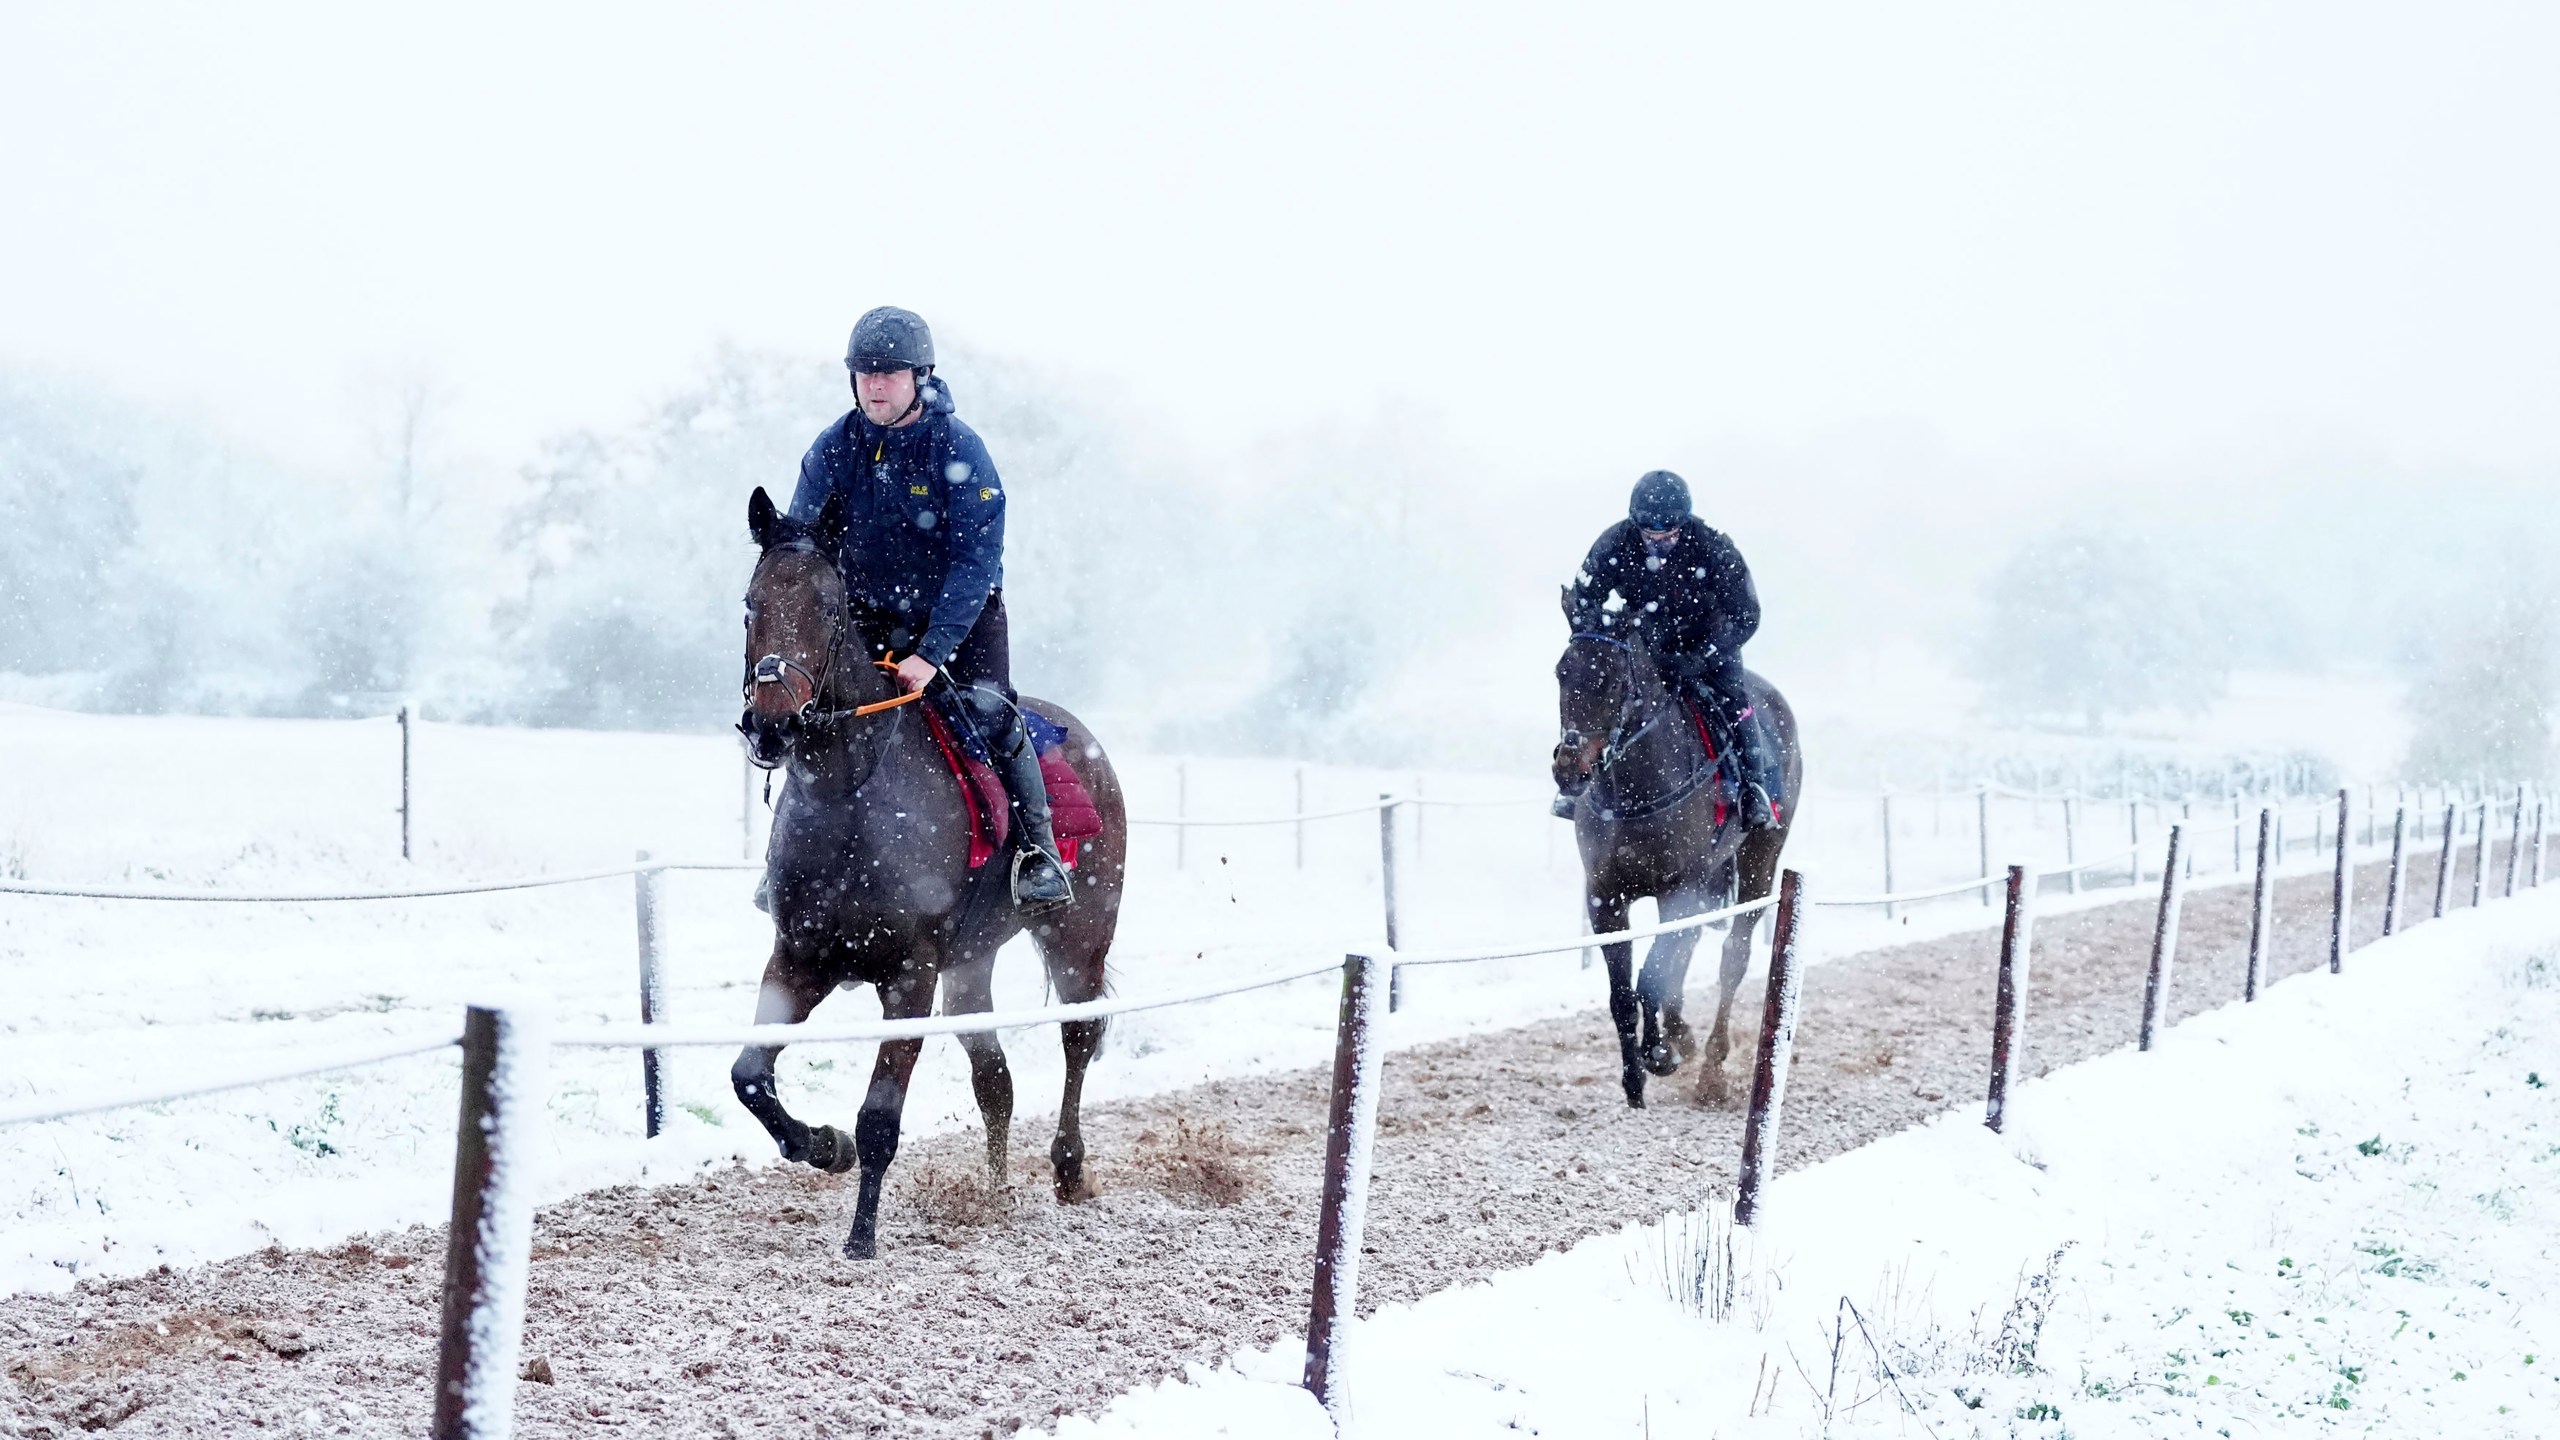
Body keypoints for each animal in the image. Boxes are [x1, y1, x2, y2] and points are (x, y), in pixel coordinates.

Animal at [721, 484, 1121, 1255]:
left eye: (828, 607)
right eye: (752, 604)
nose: (772, 724)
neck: (849, 795)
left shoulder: (911, 973)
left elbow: (880, 1116)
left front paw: (861, 1237)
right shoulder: (799, 957)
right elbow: (749, 1075)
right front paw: (823, 1145)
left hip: (1079, 938)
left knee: (1078, 1039)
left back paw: (1067, 1167)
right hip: (970, 970)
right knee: (994, 1077)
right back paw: (996, 1192)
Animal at [1536, 599, 1802, 1101]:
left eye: (1611, 679)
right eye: (1562, 671)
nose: (1569, 767)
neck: (1636, 793)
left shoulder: (1680, 888)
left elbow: (1650, 976)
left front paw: (1659, 1054)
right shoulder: (1604, 897)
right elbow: (1625, 991)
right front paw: (1635, 1073)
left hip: (1760, 861)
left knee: (1732, 956)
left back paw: (1712, 1067)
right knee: (1689, 946)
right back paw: (1683, 1035)